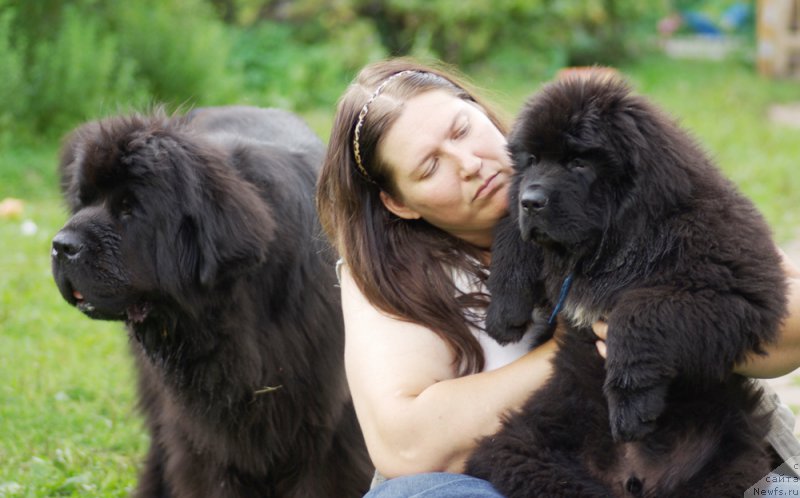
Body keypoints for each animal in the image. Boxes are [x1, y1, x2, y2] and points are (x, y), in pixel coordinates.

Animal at [468, 73, 788, 494]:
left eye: (578, 162)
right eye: (532, 160)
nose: (531, 200)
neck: (610, 244)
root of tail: (634, 477)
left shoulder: (735, 287)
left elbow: (637, 312)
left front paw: (631, 407)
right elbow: (512, 232)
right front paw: (505, 312)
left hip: (730, 460)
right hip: (517, 444)